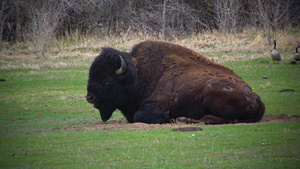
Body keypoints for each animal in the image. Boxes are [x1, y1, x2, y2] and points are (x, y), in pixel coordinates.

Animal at [86, 41, 264, 124]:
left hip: (211, 88)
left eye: (108, 80)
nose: (90, 97)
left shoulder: (154, 108)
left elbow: (140, 116)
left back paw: (184, 119)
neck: (140, 76)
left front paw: (169, 119)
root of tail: (255, 96)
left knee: (225, 119)